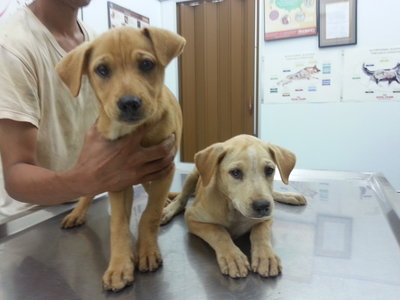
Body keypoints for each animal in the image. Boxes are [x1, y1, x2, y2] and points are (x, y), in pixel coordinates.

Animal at [55, 27, 186, 290]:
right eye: (102, 70)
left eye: (146, 64)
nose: (129, 103)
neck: (136, 131)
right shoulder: (116, 178)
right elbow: (118, 225)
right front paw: (119, 266)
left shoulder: (164, 168)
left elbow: (150, 214)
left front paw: (146, 250)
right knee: (88, 192)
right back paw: (77, 212)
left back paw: (168, 199)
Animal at [162, 135, 306, 278]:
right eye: (236, 172)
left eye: (269, 170)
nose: (262, 206)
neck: (233, 209)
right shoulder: (192, 218)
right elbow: (218, 232)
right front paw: (233, 258)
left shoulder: (266, 219)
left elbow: (261, 233)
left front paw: (266, 257)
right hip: (192, 175)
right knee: (181, 199)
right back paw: (167, 210)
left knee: (272, 194)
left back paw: (291, 196)